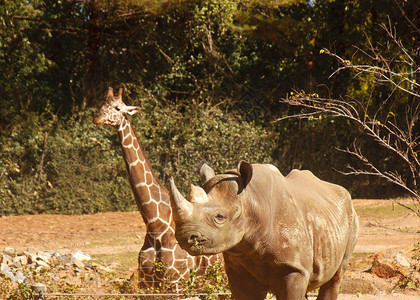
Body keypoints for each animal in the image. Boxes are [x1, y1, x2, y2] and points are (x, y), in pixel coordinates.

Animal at [92, 88, 220, 290]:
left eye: (118, 107)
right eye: (100, 105)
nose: (97, 118)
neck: (155, 226)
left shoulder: (176, 282)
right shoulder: (148, 283)